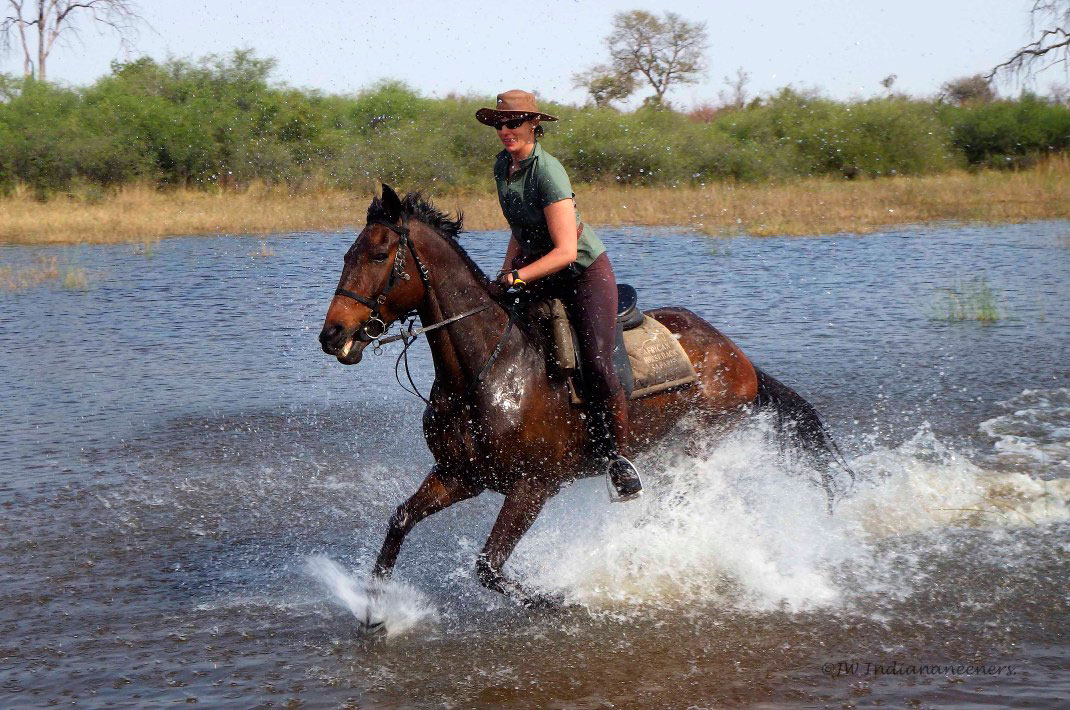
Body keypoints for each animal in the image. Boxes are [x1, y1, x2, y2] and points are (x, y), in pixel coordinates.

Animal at [316, 186, 851, 607]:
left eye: (379, 256)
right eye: (346, 256)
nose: (332, 334)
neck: (485, 371)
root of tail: (736, 355)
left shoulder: (532, 486)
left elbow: (489, 566)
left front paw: (561, 598)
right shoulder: (459, 475)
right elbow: (401, 520)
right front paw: (375, 610)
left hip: (698, 445)